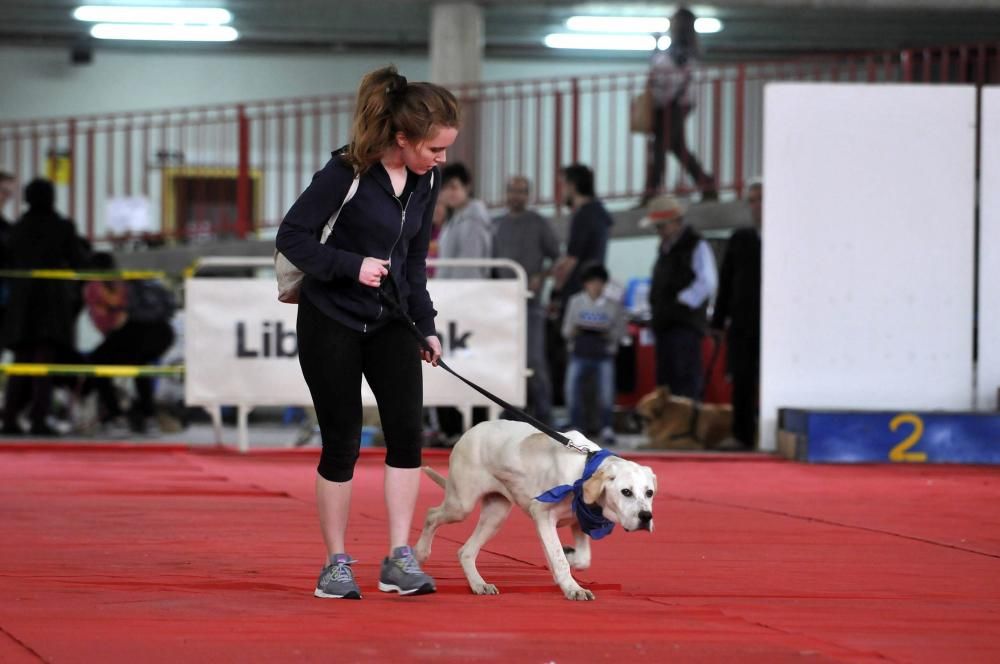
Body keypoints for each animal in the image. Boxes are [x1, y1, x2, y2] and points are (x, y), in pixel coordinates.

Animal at [414, 420, 656, 600]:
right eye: (626, 492)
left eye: (650, 493)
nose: (646, 517)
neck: (585, 470)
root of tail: (470, 431)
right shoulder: (542, 514)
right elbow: (558, 557)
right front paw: (573, 587)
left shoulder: (579, 520)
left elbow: (581, 558)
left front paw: (569, 559)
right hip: (461, 504)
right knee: (432, 515)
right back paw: (421, 553)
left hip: (495, 514)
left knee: (465, 551)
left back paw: (479, 585)